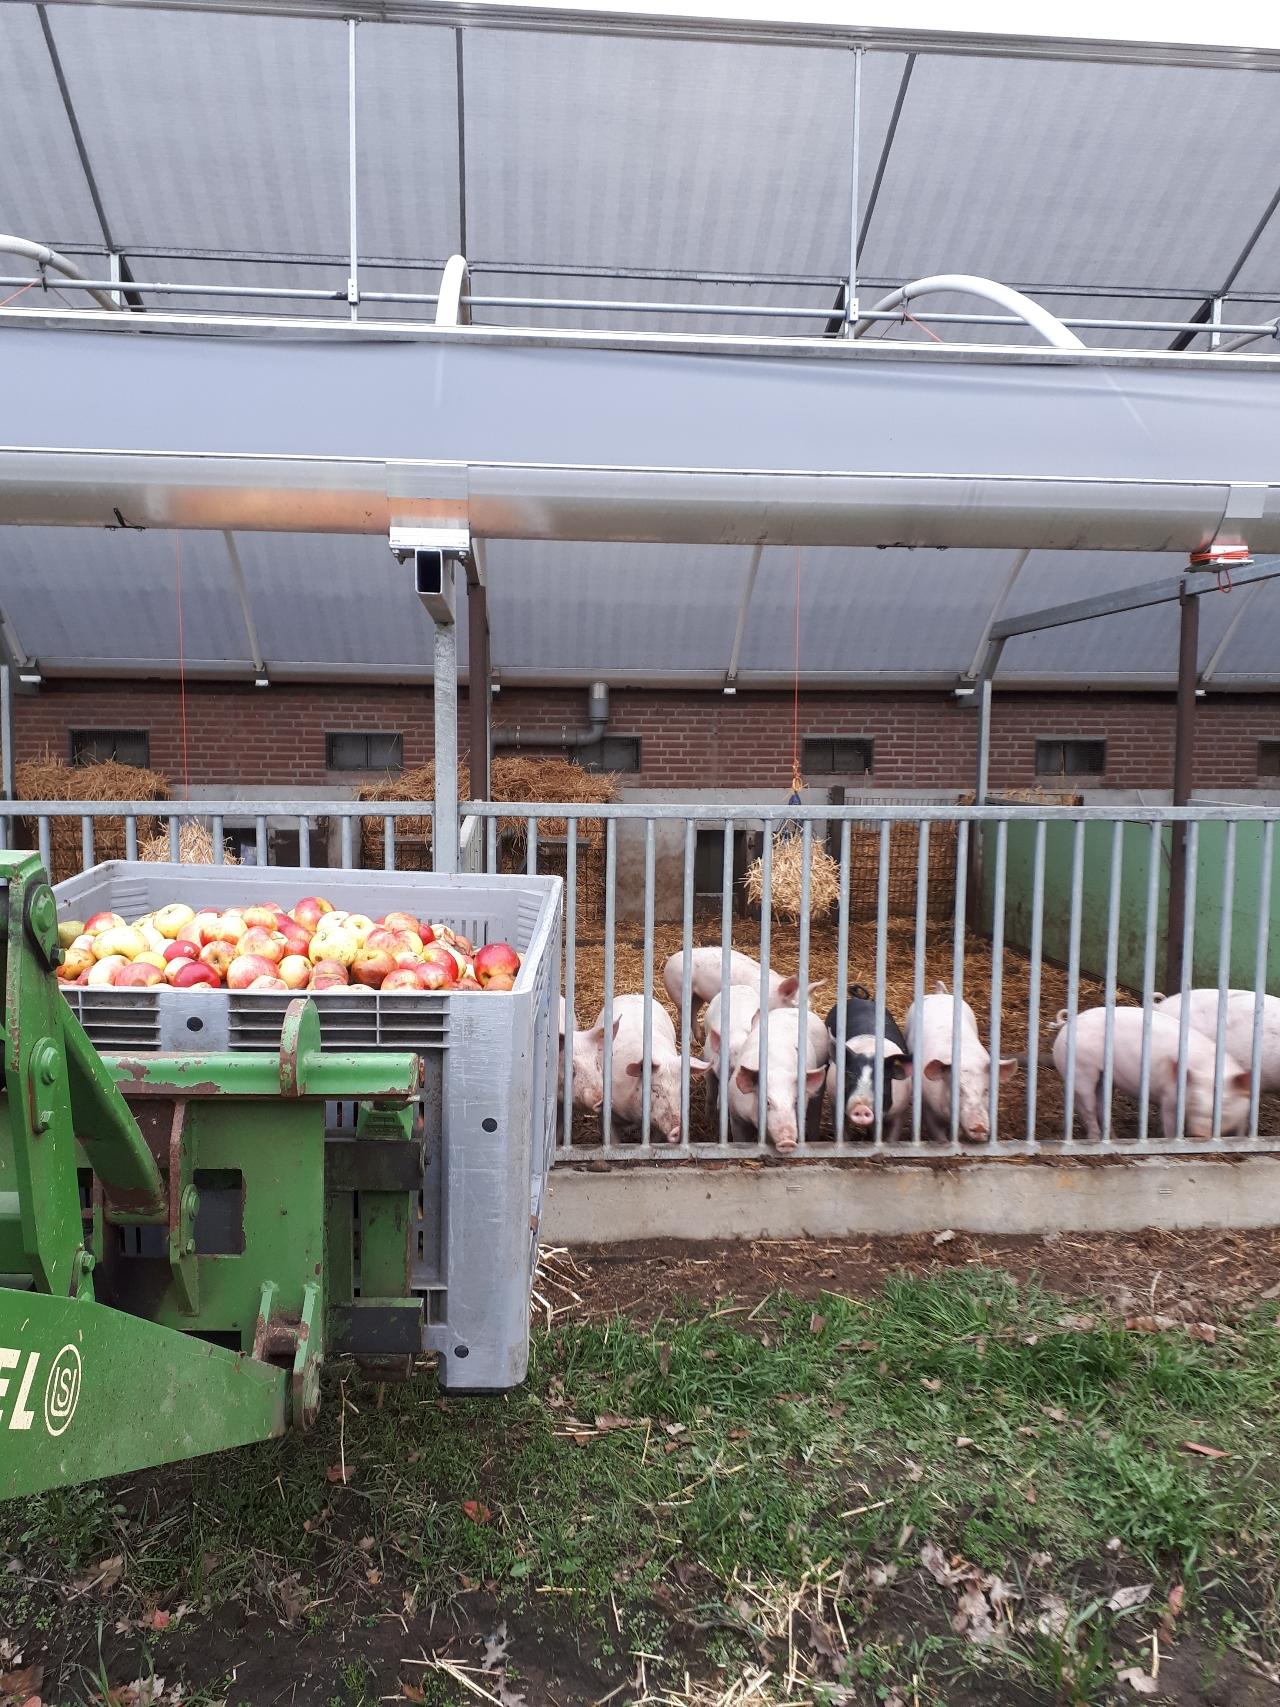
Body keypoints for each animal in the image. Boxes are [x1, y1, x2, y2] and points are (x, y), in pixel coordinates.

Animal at [662, 946, 822, 1014]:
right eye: (794, 1006)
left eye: (810, 1007)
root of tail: (670, 959)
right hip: (677, 989)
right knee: (683, 1013)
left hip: (697, 996)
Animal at [726, 1005, 830, 1154]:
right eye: (767, 1102)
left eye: (795, 1102)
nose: (788, 1142)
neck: (775, 1068)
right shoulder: (735, 1114)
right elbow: (739, 1138)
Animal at [825, 985, 912, 1141]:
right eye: (849, 1074)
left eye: (884, 1079)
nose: (861, 1107)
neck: (870, 1051)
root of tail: (860, 999)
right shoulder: (835, 1103)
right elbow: (842, 1132)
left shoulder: (899, 1112)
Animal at [904, 981, 1016, 1143]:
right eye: (959, 1091)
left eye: (986, 1090)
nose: (979, 1127)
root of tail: (940, 994)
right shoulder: (928, 1107)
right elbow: (938, 1134)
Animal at [1052, 1006, 1251, 1140]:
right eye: (1194, 1099)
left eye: (1224, 1103)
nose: (1198, 1134)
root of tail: (1069, 1023)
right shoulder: (1169, 1096)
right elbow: (1170, 1124)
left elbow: (1241, 1127)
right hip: (1082, 1068)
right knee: (1088, 1106)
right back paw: (1095, 1138)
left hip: (1102, 1077)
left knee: (1099, 1104)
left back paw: (1114, 1138)